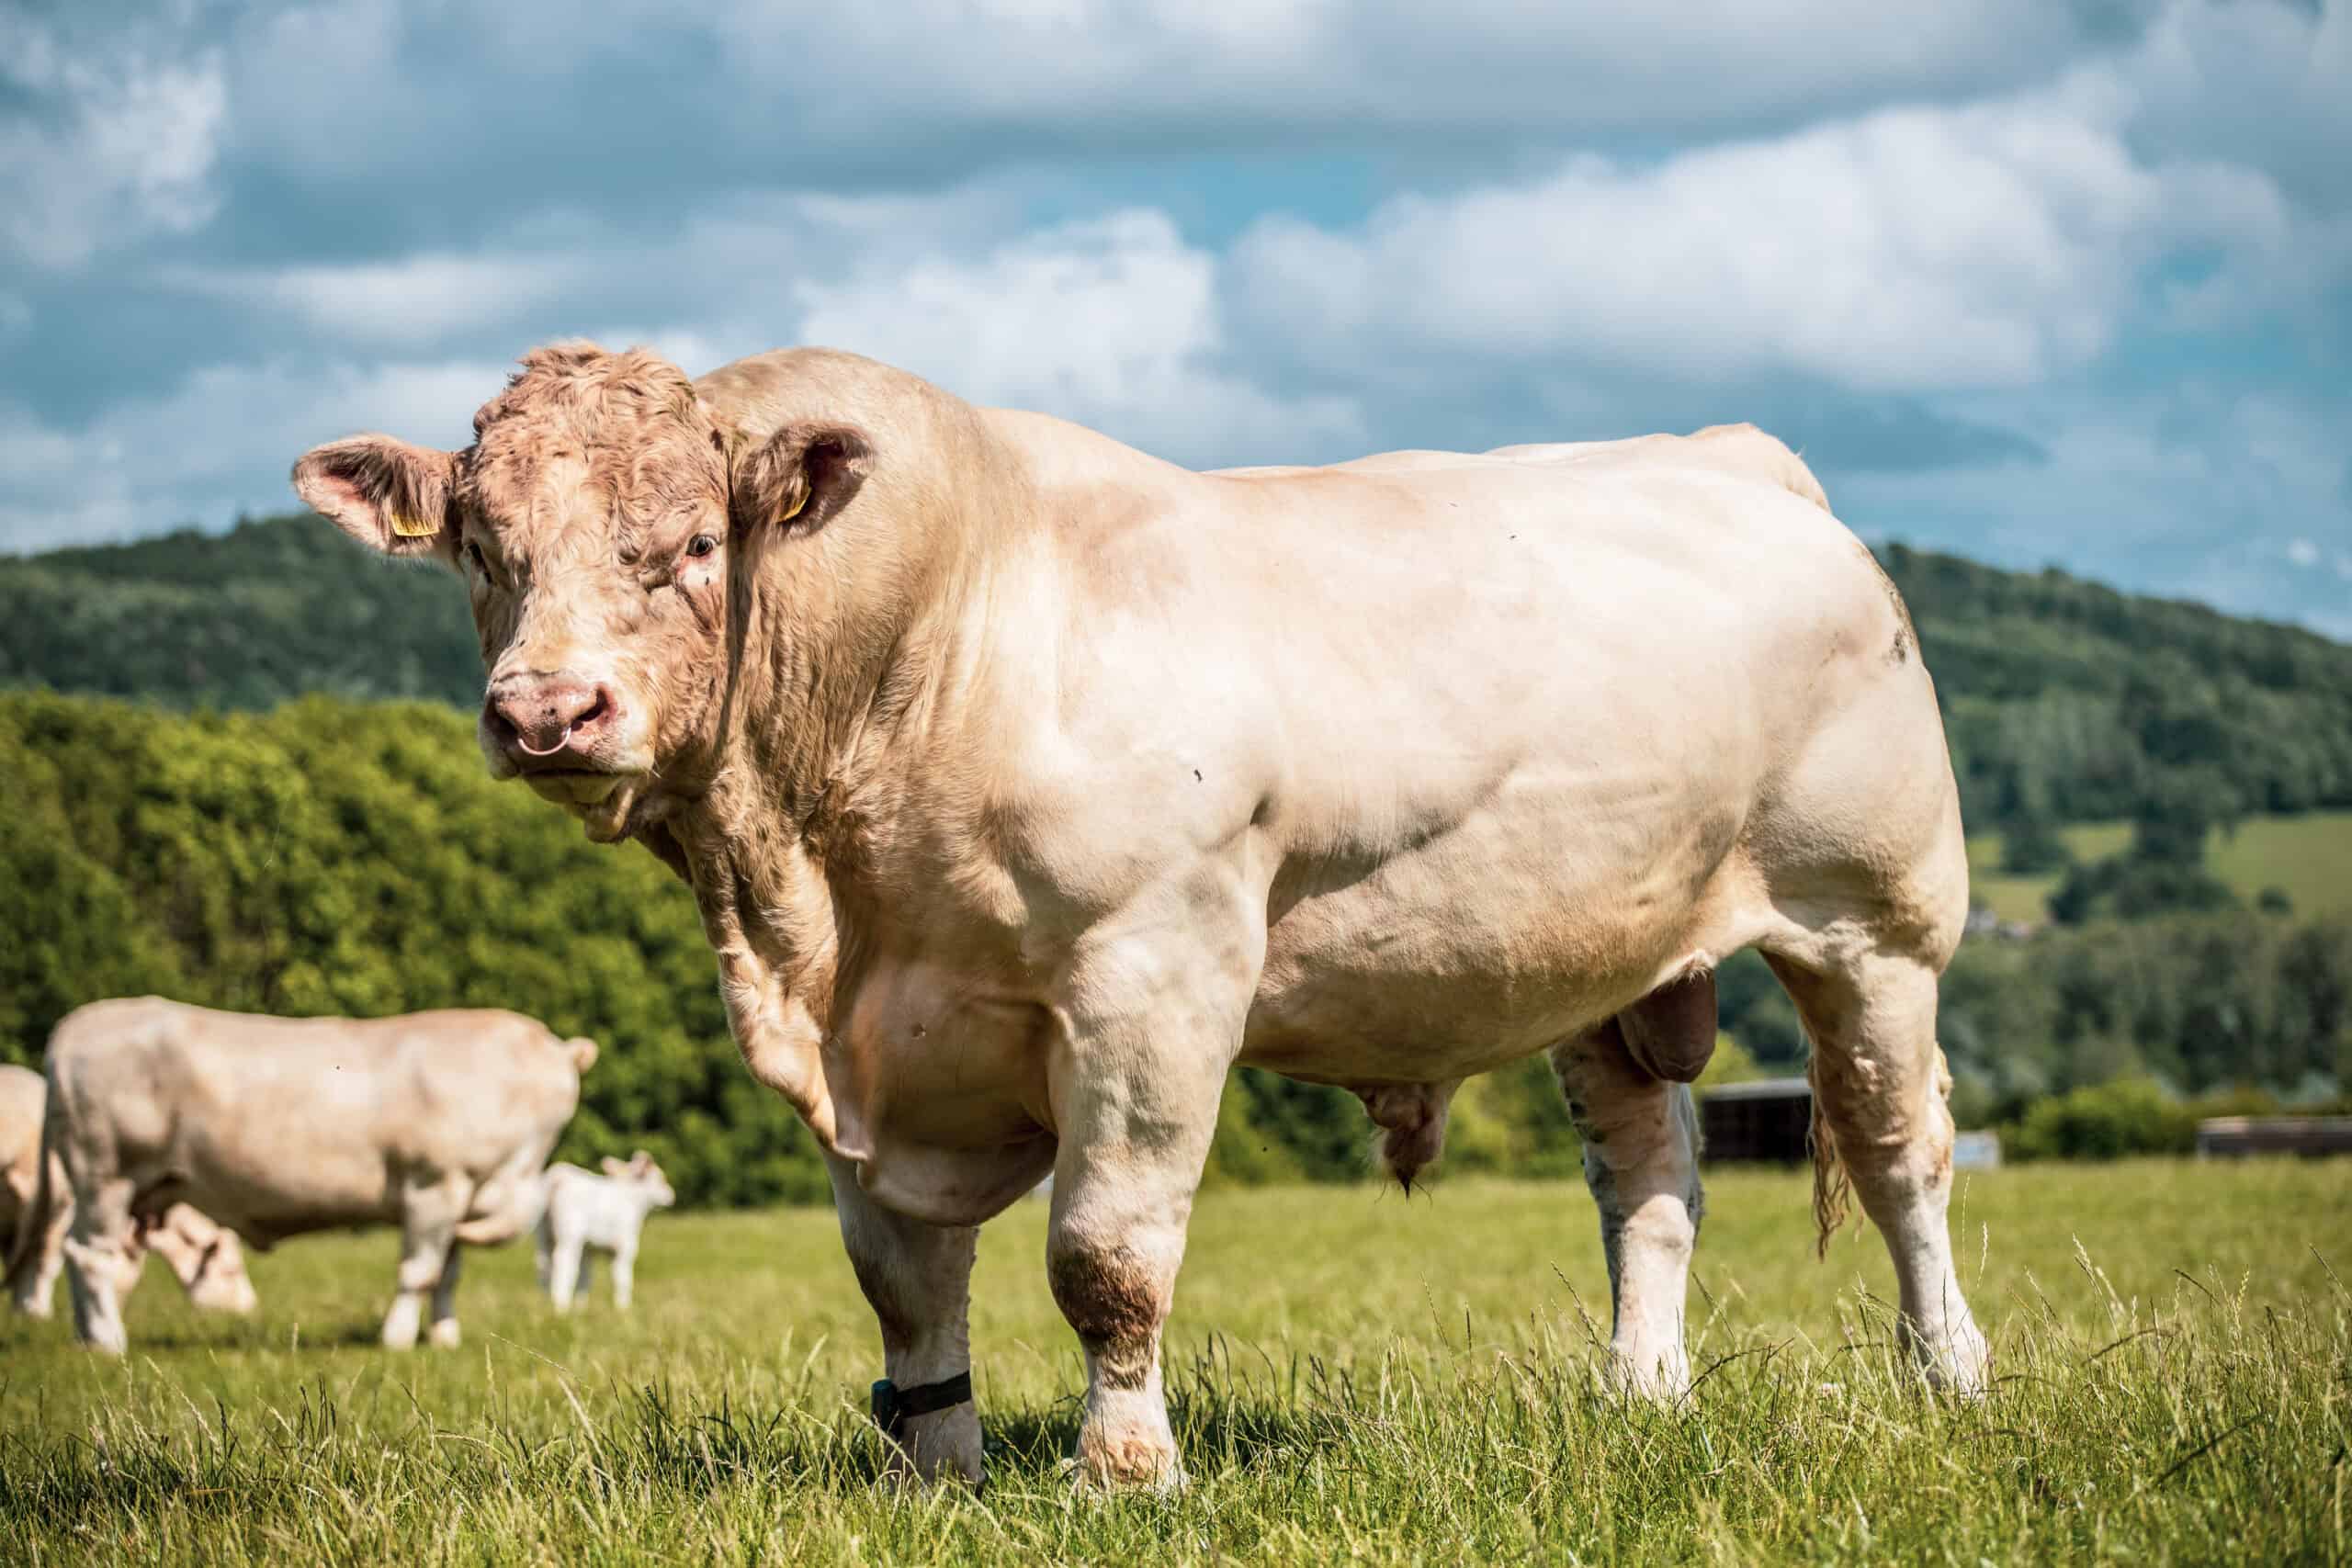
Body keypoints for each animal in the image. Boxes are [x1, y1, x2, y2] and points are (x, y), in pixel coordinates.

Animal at [11, 1001, 597, 1354]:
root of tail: (76, 1026)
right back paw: (109, 1341)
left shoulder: (460, 1198)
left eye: (562, 1093)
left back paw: (89, 1337)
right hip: (105, 1176)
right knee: (89, 1256)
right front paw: (397, 1339)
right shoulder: (433, 1187)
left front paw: (444, 1337)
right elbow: (419, 1273)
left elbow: (447, 1276)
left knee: (84, 1257)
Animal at [531, 1152, 673, 1316]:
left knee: (543, 1264)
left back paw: (544, 1303)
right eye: (661, 1179)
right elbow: (622, 1278)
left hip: (542, 1233)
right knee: (563, 1263)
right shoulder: (625, 1247)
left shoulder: (588, 1249)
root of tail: (558, 1176)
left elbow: (585, 1277)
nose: (671, 1195)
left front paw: (581, 1308)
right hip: (570, 1234)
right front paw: (623, 1309)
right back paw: (561, 1307)